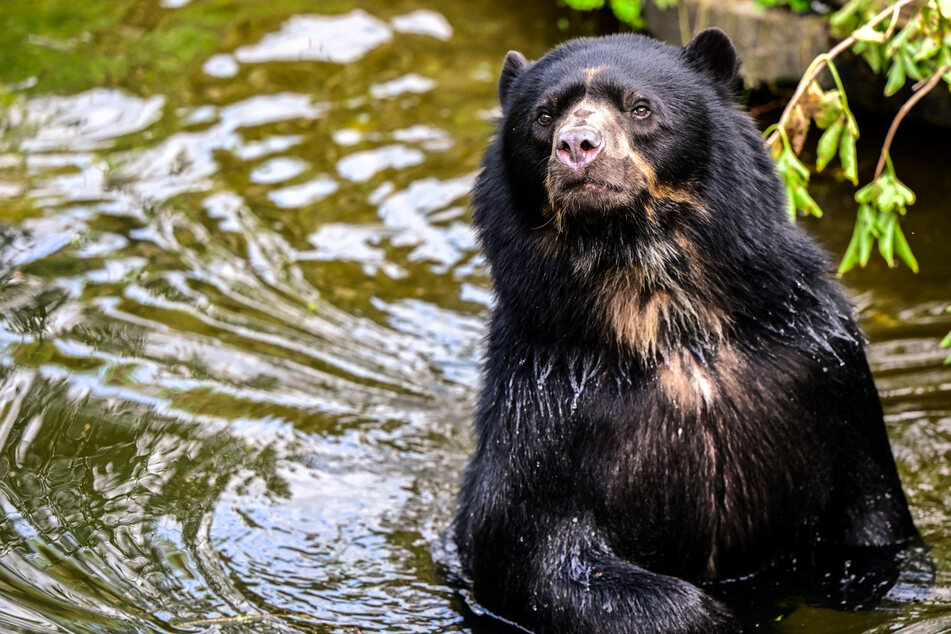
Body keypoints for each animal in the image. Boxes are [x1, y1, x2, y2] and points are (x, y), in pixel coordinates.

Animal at [454, 27, 924, 628]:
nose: (577, 145)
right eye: (542, 116)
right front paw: (710, 614)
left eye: (640, 107)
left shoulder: (823, 361)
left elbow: (873, 512)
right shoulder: (543, 402)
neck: (665, 317)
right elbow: (528, 551)